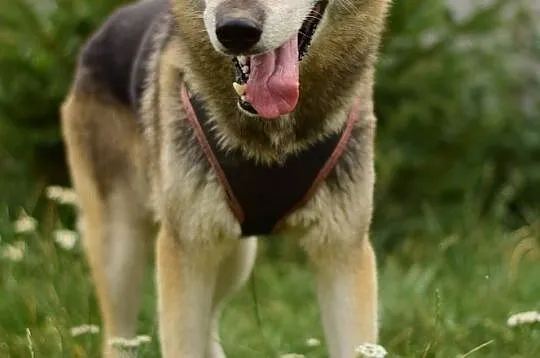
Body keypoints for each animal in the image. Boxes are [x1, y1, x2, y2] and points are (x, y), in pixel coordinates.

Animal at [60, 0, 388, 356]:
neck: (270, 143)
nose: (235, 31)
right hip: (121, 250)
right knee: (118, 336)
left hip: (235, 257)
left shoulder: (343, 253)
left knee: (210, 324)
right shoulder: (184, 252)